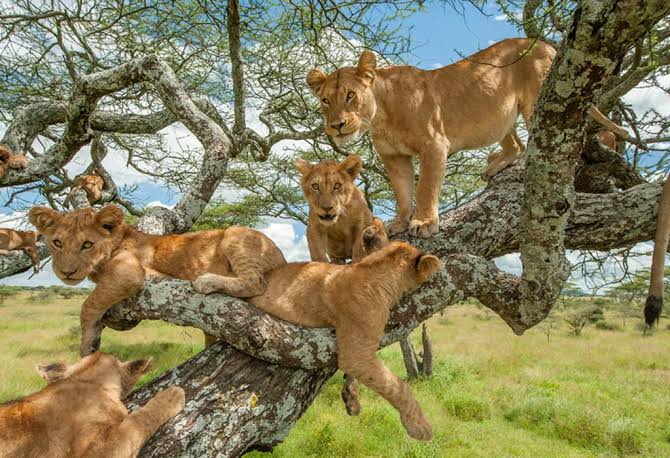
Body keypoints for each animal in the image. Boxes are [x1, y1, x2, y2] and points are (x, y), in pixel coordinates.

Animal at [28, 204, 286, 356]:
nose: (66, 272)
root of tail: (282, 256)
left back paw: (207, 280)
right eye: (57, 243)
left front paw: (87, 348)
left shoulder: (129, 273)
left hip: (235, 232)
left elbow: (88, 305)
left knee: (255, 281)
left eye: (87, 245)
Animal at [194, 232, 441, 440]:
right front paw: (420, 426)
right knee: (247, 282)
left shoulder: (355, 344)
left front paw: (352, 397)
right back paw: (205, 281)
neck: (376, 270)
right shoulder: (356, 350)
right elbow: (397, 386)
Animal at [306, 38, 629, 238]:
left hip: (541, 100)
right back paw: (495, 165)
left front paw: (423, 222)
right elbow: (402, 191)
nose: (336, 125)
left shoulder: (434, 144)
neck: (381, 116)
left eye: (350, 95)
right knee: (517, 144)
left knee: (545, 141)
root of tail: (543, 44)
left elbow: (425, 187)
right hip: (501, 118)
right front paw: (400, 221)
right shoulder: (393, 157)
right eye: (325, 100)